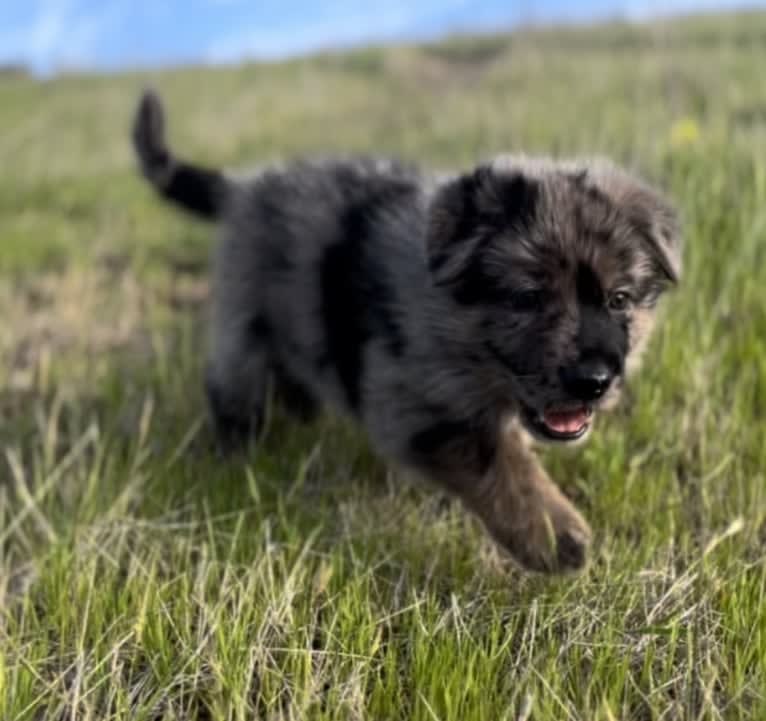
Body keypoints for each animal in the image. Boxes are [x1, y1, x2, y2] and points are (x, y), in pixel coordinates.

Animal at [132, 91, 684, 572]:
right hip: (243, 321)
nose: (595, 381)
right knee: (232, 387)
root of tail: (244, 187)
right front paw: (552, 533)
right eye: (527, 299)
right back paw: (235, 458)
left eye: (619, 299)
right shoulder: (413, 403)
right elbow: (498, 462)